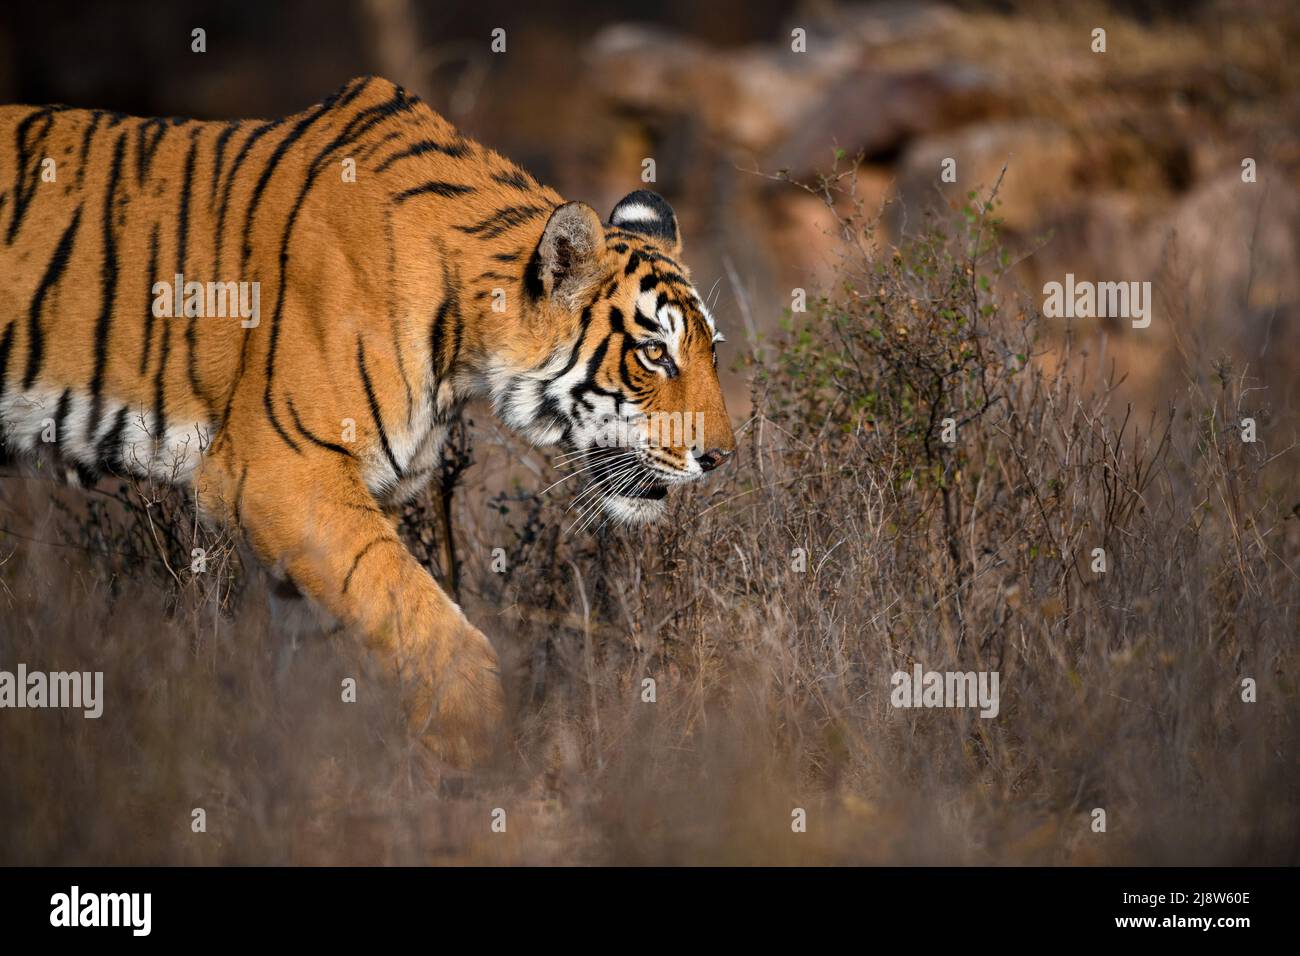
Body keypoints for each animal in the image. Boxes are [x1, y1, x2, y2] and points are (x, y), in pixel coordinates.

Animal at [0, 72, 733, 764]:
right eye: (654, 352)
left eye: (710, 350)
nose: (720, 456)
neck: (464, 345)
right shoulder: (281, 472)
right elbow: (419, 612)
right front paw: (480, 759)